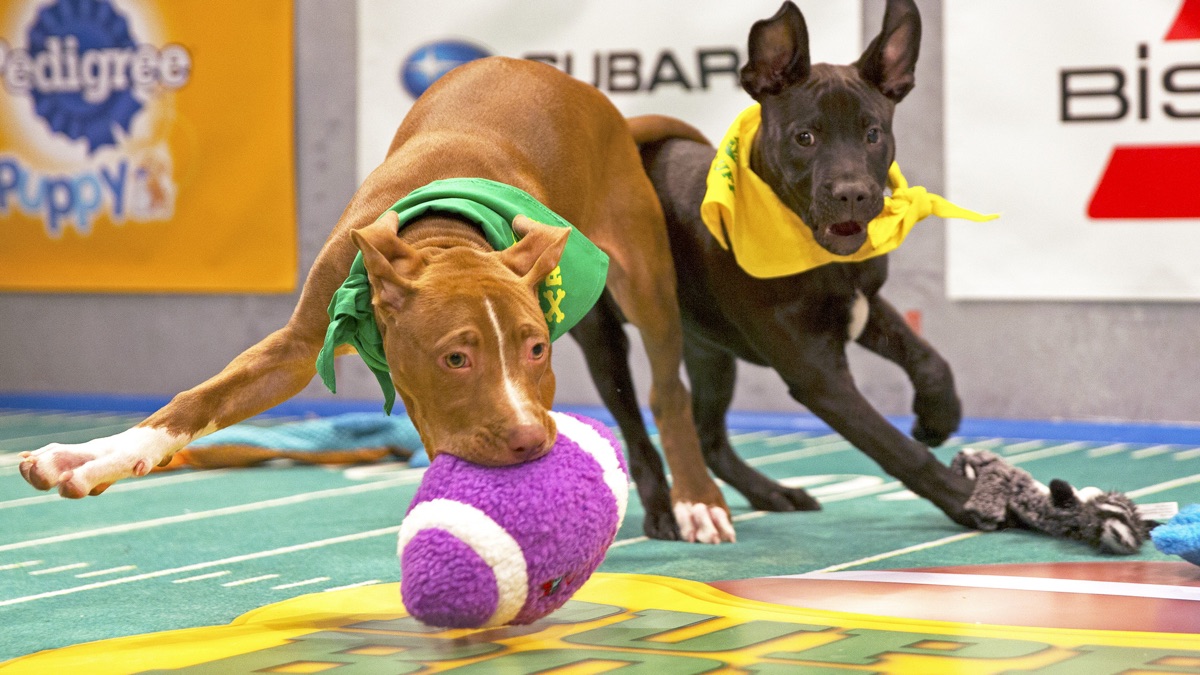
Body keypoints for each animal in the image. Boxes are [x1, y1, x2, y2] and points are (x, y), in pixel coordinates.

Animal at [16, 57, 729, 540]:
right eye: (455, 358)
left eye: (534, 350)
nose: (529, 439)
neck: (447, 236)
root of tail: (595, 99)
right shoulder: (294, 349)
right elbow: (190, 406)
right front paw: (90, 458)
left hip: (643, 275)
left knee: (667, 389)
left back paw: (697, 499)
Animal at [566, 0, 979, 538]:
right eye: (805, 137)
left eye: (873, 134)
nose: (852, 194)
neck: (821, 255)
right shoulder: (817, 371)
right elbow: (893, 447)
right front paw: (971, 498)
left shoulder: (863, 307)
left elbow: (930, 359)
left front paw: (937, 417)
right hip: (606, 339)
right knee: (640, 433)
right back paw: (664, 511)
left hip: (708, 349)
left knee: (709, 438)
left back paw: (772, 493)